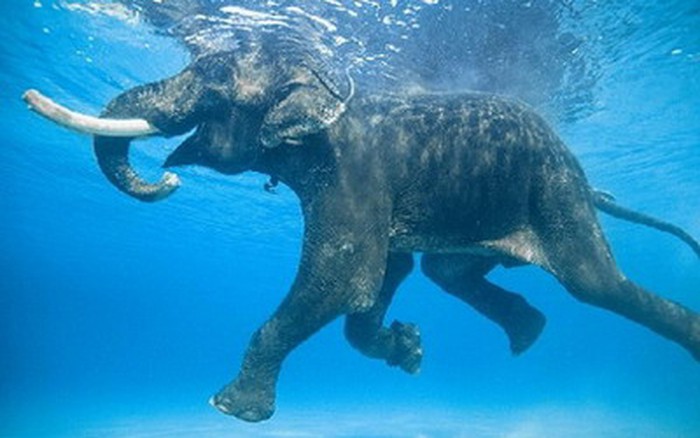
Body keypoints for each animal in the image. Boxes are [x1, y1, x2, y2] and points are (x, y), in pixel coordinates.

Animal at [24, 35, 700, 423]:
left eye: (212, 91)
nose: (167, 181)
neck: (328, 86)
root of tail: (589, 183)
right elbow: (381, 277)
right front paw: (409, 349)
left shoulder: (352, 179)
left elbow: (341, 278)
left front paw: (231, 409)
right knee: (447, 271)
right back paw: (527, 335)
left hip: (556, 192)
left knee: (597, 285)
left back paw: (682, 335)